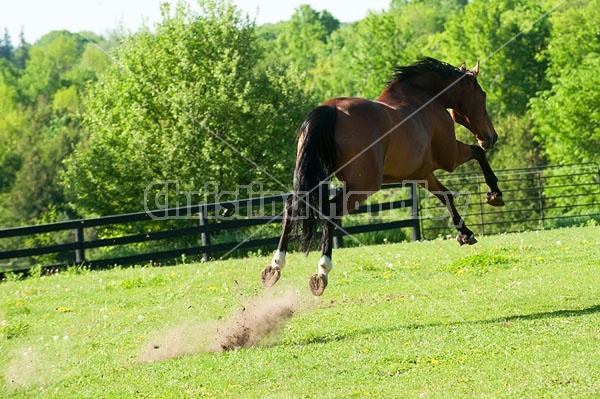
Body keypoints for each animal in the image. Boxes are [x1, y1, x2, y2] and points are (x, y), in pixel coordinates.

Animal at [262, 58, 502, 296]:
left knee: (292, 206)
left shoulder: (422, 174)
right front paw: (494, 195)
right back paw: (322, 272)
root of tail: (331, 109)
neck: (425, 99)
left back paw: (275, 266)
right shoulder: (449, 158)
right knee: (331, 212)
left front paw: (465, 233)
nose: (491, 137)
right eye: (482, 95)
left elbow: (446, 196)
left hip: (318, 178)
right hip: (362, 186)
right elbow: (478, 154)